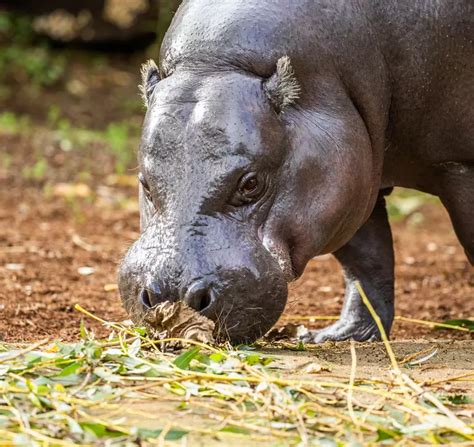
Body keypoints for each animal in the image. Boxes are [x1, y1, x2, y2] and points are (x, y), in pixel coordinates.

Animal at [118, 0, 474, 344]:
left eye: (251, 184)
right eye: (144, 183)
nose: (172, 293)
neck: (218, 64)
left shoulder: (459, 165)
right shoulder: (351, 181)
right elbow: (366, 260)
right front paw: (337, 336)